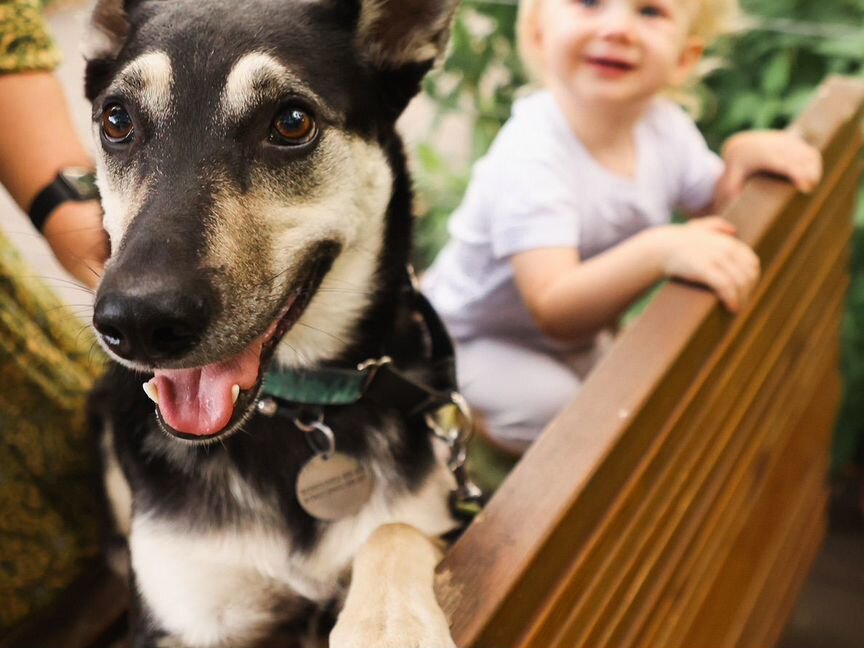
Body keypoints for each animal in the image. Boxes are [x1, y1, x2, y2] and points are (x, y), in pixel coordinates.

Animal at [82, 2, 472, 644]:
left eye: (291, 123)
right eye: (117, 120)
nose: (139, 323)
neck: (292, 411)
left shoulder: (440, 516)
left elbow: (393, 531)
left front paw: (388, 624)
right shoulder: (181, 613)